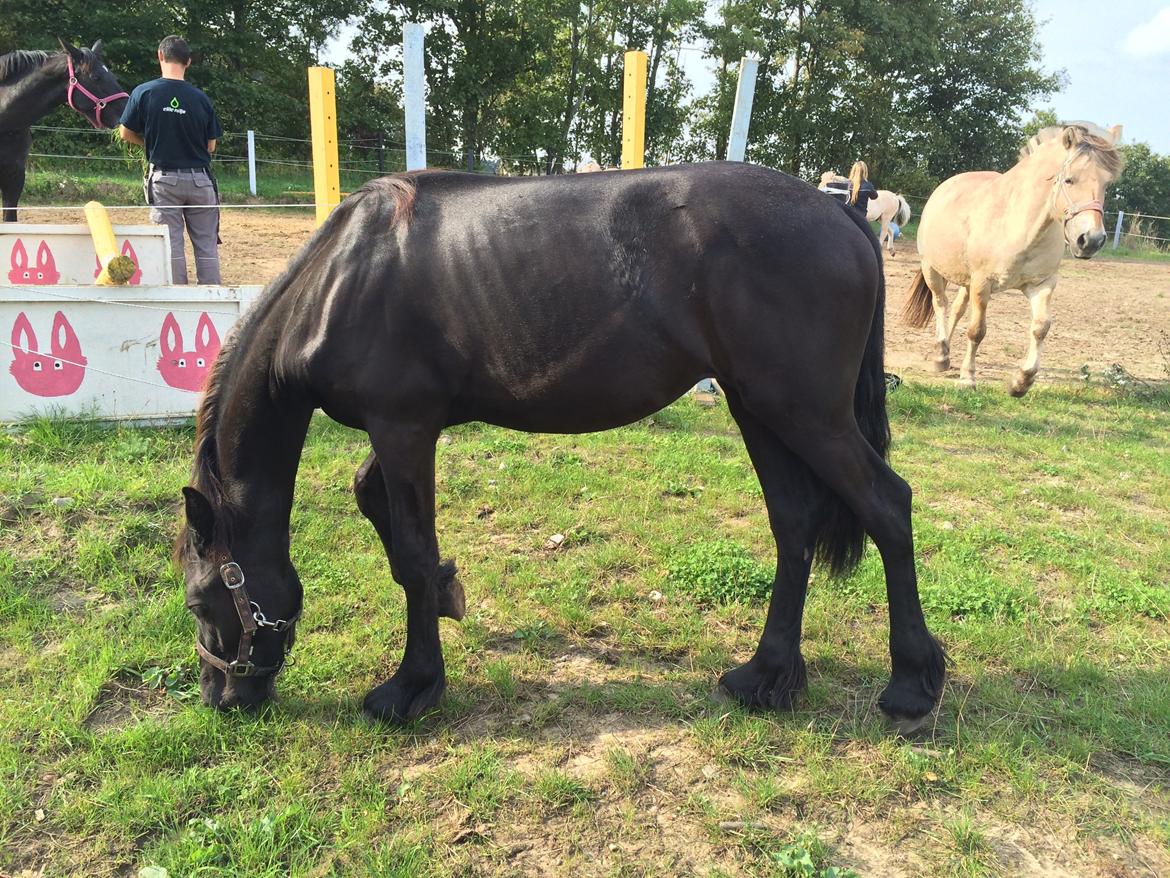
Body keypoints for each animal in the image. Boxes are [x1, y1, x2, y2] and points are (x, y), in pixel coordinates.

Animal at [180, 161, 950, 730]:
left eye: (197, 602)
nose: (222, 699)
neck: (344, 279)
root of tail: (841, 214)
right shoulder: (401, 430)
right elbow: (383, 516)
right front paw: (451, 596)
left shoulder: (402, 427)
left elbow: (412, 555)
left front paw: (412, 685)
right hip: (760, 409)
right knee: (794, 524)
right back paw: (766, 676)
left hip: (806, 414)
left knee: (888, 507)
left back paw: (912, 685)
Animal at [903, 122, 1123, 395]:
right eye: (1070, 179)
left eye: (1106, 185)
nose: (1091, 239)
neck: (1020, 225)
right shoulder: (982, 283)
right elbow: (977, 331)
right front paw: (968, 378)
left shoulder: (1041, 284)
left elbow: (1040, 327)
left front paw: (1021, 381)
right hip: (932, 269)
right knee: (940, 304)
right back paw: (941, 355)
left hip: (965, 281)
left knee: (955, 309)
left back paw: (945, 351)